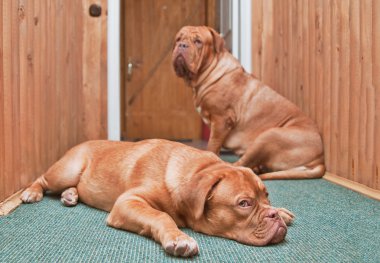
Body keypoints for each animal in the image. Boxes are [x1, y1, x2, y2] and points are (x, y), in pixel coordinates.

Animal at [21, 140, 294, 258]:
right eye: (244, 204)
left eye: (266, 196)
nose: (273, 215)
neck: (197, 169)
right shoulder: (128, 202)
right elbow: (161, 216)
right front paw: (179, 238)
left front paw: (282, 211)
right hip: (66, 170)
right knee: (43, 180)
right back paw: (32, 192)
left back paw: (70, 195)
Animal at [174, 25, 326, 180]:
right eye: (178, 39)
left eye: (198, 41)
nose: (182, 45)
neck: (209, 72)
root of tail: (320, 160)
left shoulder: (221, 120)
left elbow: (212, 145)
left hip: (268, 135)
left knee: (241, 164)